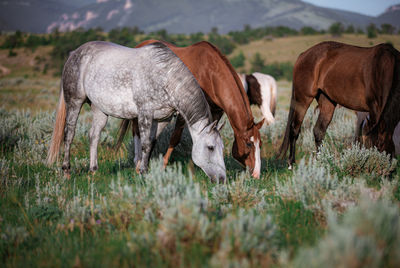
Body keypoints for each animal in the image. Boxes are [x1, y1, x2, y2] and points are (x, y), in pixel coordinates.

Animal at [46, 41, 225, 182]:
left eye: (222, 148)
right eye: (210, 147)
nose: (222, 179)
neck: (164, 77)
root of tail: (74, 54)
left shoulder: (162, 119)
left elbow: (151, 143)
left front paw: (142, 171)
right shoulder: (145, 113)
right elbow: (146, 144)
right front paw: (143, 173)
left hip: (99, 110)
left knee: (93, 136)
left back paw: (93, 170)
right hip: (74, 102)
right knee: (69, 134)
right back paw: (66, 171)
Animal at [117, 39, 264, 178]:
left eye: (260, 144)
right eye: (249, 144)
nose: (256, 174)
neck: (209, 73)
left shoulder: (215, 113)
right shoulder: (185, 112)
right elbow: (175, 138)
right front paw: (163, 166)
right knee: (136, 131)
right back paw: (138, 164)